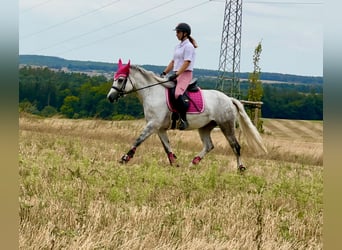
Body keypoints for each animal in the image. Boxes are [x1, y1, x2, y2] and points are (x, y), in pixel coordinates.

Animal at [107, 59, 268, 171]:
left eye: (120, 79)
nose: (110, 97)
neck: (152, 92)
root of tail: (229, 98)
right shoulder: (160, 128)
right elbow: (167, 147)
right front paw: (175, 163)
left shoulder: (153, 125)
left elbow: (138, 140)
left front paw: (125, 158)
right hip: (205, 127)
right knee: (209, 146)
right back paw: (192, 163)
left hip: (226, 125)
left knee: (236, 146)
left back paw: (241, 168)